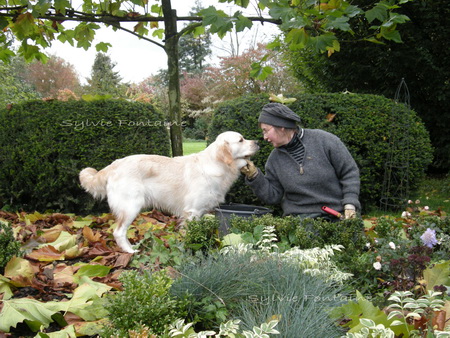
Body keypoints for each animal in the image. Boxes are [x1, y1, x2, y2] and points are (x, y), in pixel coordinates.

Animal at [79, 131, 258, 252]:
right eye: (241, 140)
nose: (257, 142)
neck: (217, 165)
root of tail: (114, 164)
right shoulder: (192, 212)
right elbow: (188, 235)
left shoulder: (199, 213)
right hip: (131, 206)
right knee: (118, 232)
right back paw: (130, 251)